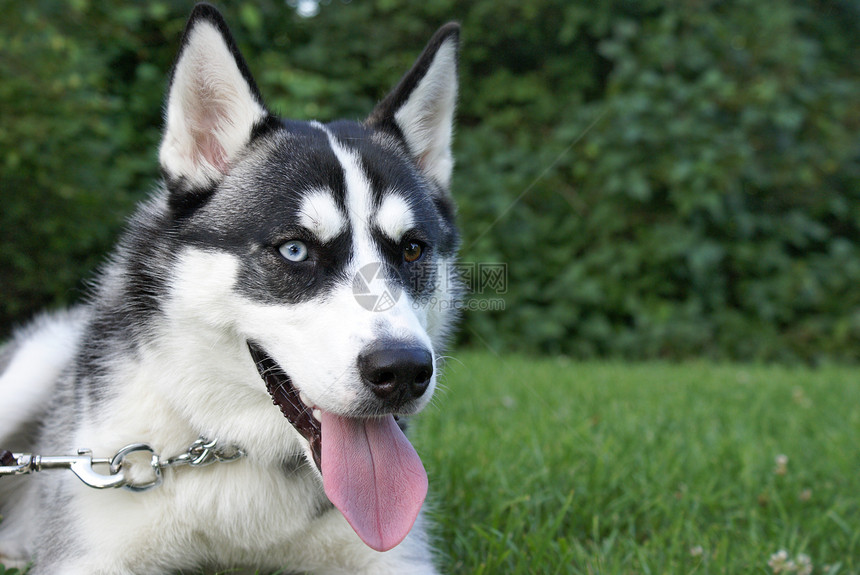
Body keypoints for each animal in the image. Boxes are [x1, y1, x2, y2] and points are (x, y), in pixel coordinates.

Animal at [0, 3, 464, 572]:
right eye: (295, 250)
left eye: (412, 250)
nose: (401, 371)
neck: (229, 445)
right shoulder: (86, 555)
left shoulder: (396, 558)